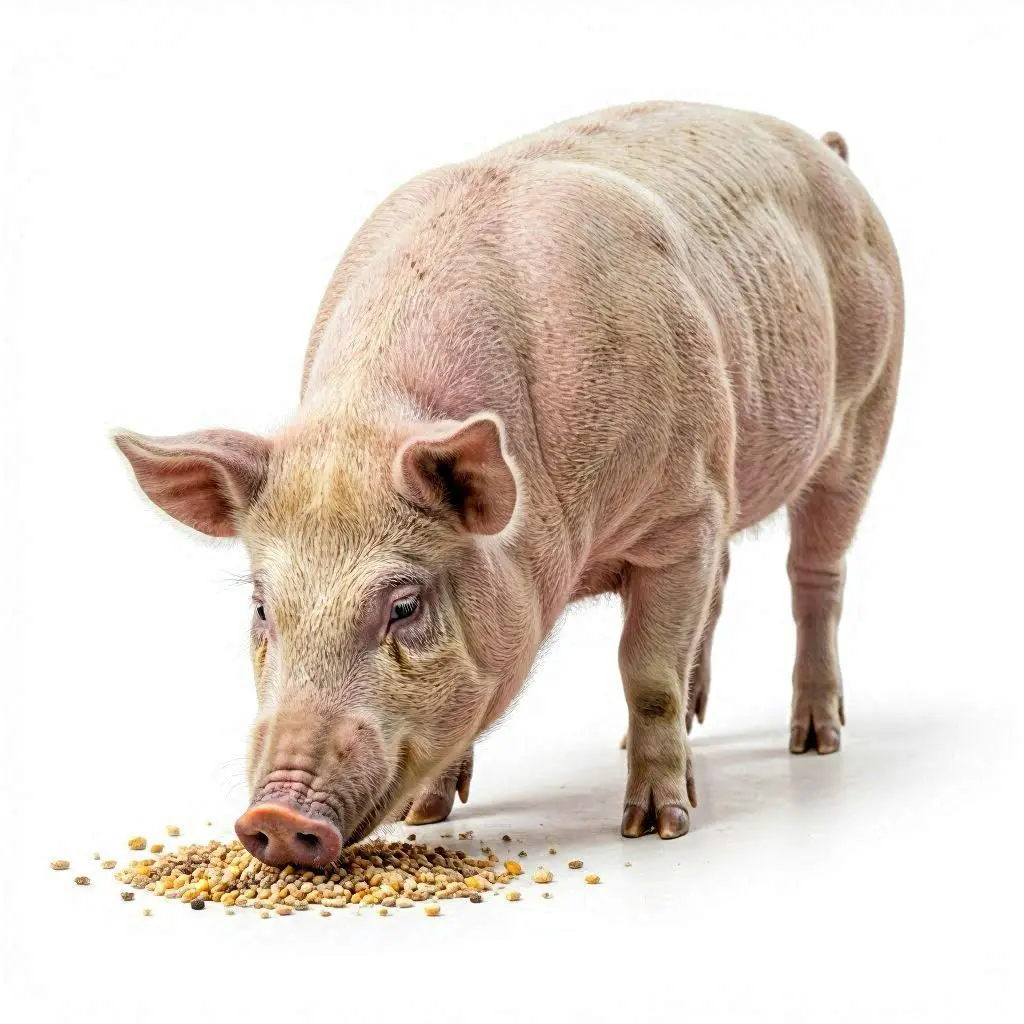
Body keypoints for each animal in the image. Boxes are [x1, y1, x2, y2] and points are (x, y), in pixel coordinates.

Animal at [113, 101, 902, 866]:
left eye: (404, 606)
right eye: (261, 609)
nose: (274, 819)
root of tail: (827, 149)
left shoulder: (680, 510)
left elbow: (646, 670)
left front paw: (658, 828)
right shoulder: (699, 507)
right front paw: (426, 816)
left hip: (866, 409)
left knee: (815, 573)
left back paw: (814, 740)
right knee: (727, 576)